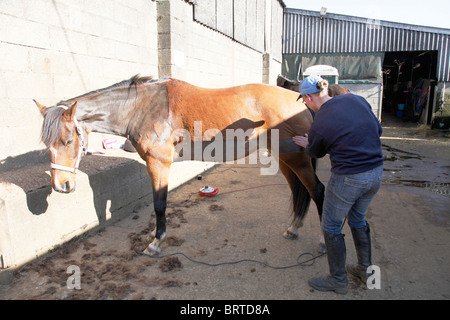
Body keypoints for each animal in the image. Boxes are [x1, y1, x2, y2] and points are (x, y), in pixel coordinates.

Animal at [34, 74, 324, 255]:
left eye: (68, 140)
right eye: (46, 144)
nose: (61, 185)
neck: (142, 108)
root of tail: (299, 102)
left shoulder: (159, 164)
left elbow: (159, 204)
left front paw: (155, 243)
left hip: (296, 159)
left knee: (317, 191)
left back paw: (323, 241)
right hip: (285, 159)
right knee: (300, 192)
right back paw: (293, 228)